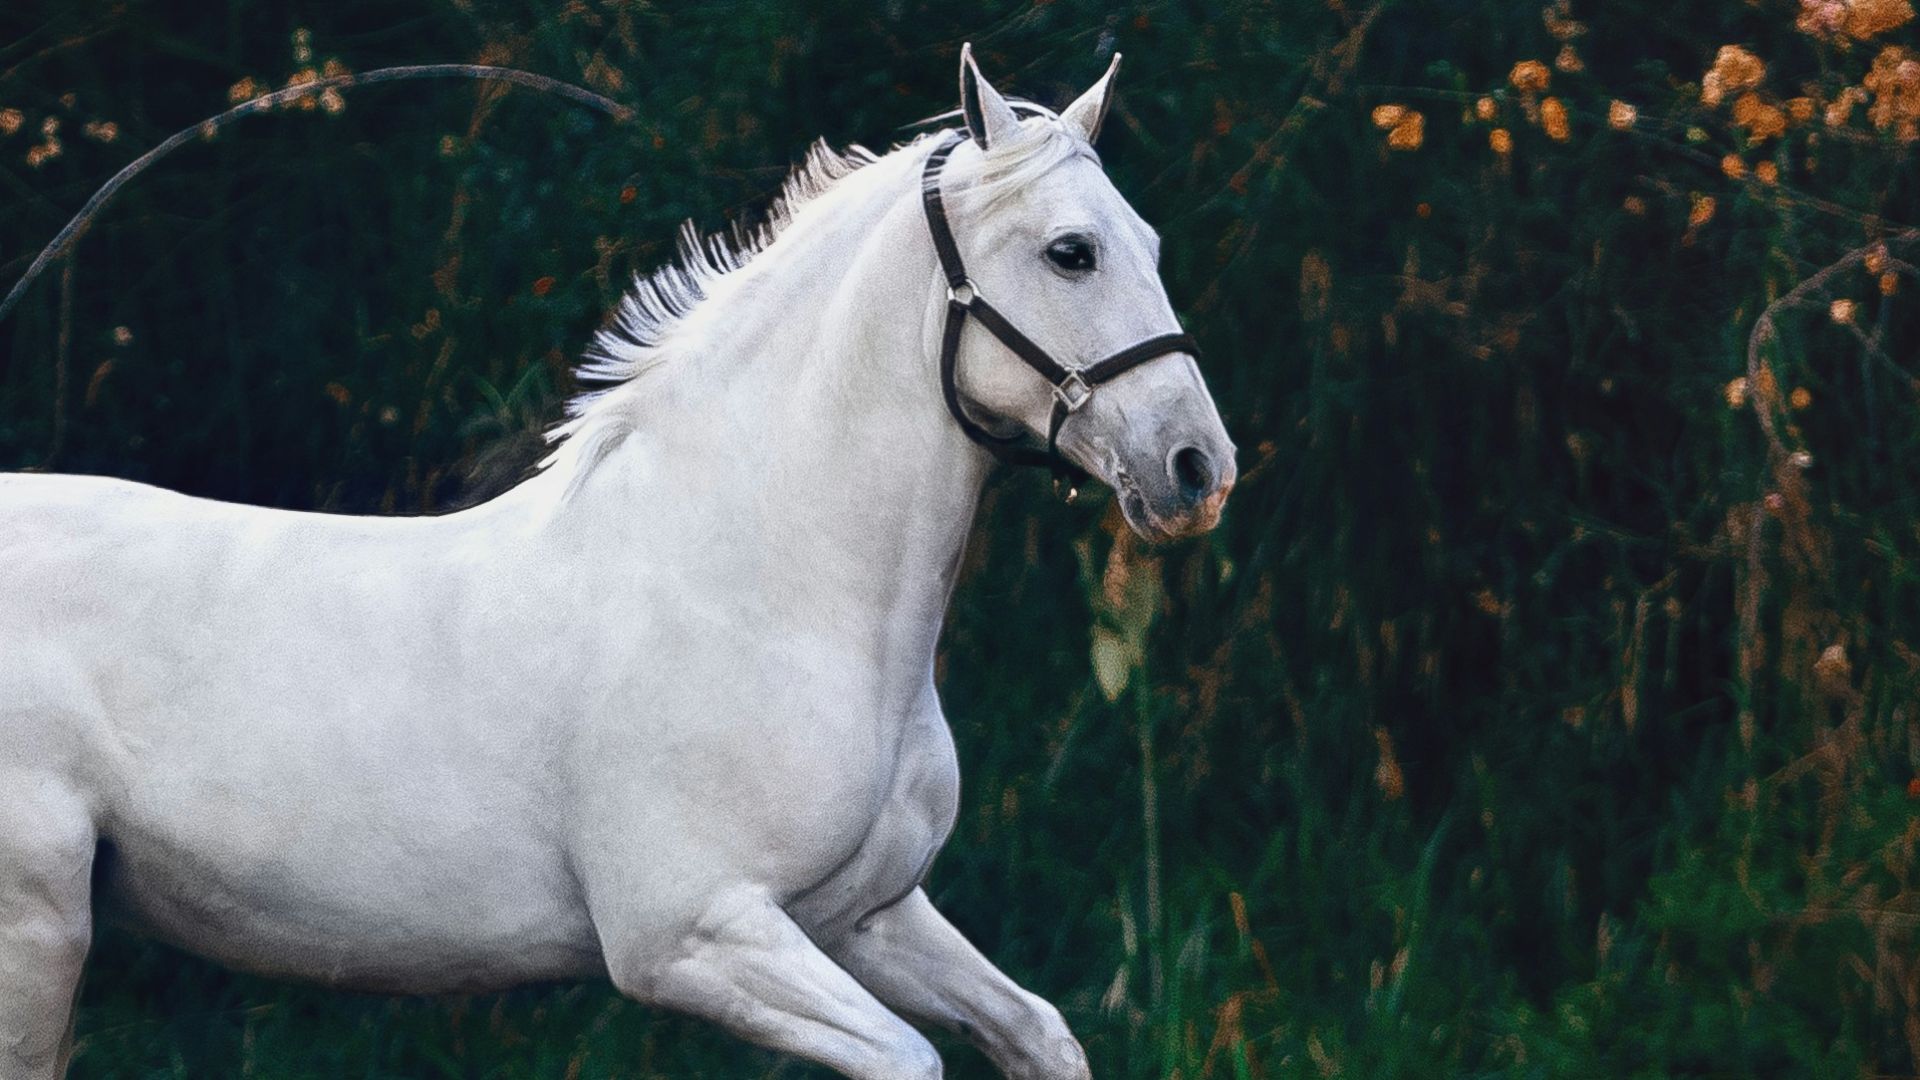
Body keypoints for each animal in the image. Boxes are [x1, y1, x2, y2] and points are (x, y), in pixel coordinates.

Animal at [0, 46, 1233, 1079]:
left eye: (1152, 246)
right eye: (1071, 253)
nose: (1197, 469)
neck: (758, 585)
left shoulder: (866, 917)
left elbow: (1039, 1029)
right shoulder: (694, 935)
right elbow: (911, 1060)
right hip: (38, 930)